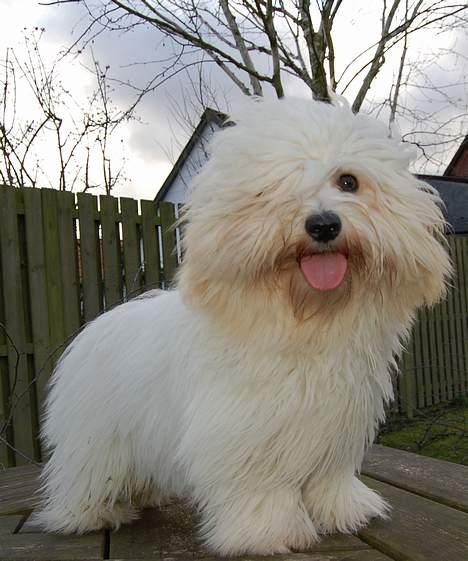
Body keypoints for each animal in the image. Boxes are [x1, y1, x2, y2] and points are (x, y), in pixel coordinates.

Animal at [35, 98, 450, 552]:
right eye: (275, 187)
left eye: (348, 181)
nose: (323, 225)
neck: (305, 321)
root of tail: (97, 323)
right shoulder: (245, 433)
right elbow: (259, 488)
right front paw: (268, 532)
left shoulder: (335, 424)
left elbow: (329, 478)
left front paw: (343, 511)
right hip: (97, 439)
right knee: (86, 475)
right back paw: (91, 513)